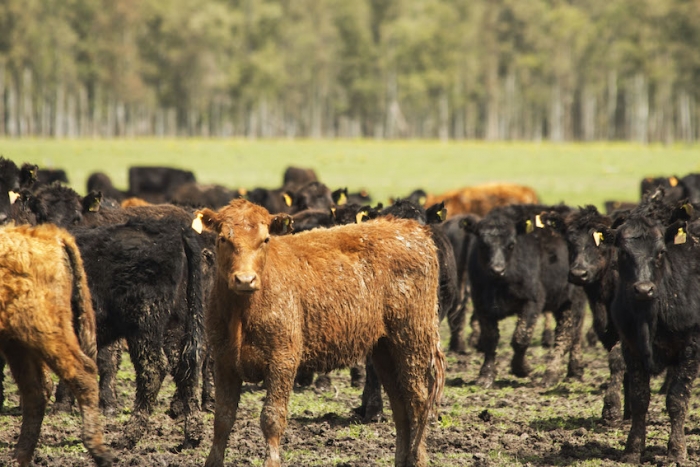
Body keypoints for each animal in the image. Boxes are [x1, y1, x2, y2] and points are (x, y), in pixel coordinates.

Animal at [0, 225, 113, 466]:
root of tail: (52, 235)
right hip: (17, 343)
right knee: (36, 390)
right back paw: (19, 457)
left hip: (44, 332)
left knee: (82, 372)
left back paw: (100, 452)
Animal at [194, 199, 446, 467]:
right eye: (223, 238)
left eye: (265, 239)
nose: (245, 279)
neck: (242, 312)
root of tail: (413, 230)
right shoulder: (223, 362)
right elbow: (223, 418)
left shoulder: (283, 361)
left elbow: (272, 417)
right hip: (385, 350)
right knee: (400, 406)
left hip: (412, 340)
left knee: (418, 400)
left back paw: (418, 458)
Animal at [464, 205, 592, 388]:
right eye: (482, 244)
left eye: (511, 244)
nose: (497, 269)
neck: (499, 284)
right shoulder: (481, 303)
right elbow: (490, 339)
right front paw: (485, 375)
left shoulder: (533, 301)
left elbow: (521, 337)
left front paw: (522, 368)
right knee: (575, 335)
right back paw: (574, 373)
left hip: (573, 301)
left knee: (565, 336)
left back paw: (551, 375)